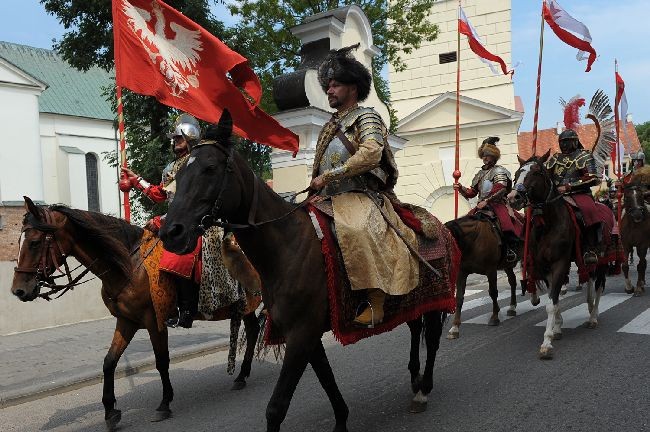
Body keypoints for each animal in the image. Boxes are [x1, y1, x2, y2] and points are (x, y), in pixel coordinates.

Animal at [11, 197, 260, 430]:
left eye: (34, 242)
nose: (18, 290)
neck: (129, 267)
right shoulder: (126, 321)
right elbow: (109, 362)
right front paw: (110, 411)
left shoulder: (155, 321)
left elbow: (162, 361)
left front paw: (164, 403)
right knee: (253, 330)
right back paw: (242, 375)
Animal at [158, 112, 450, 432]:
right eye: (178, 176)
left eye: (210, 168)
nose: (171, 233)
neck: (287, 245)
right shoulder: (305, 335)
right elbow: (326, 379)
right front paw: (341, 420)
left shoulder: (301, 335)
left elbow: (277, 407)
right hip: (413, 301)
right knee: (415, 328)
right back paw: (415, 379)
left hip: (436, 299)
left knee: (432, 338)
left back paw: (423, 390)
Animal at [506, 154, 608, 360]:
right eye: (517, 173)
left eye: (536, 172)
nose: (513, 198)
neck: (547, 224)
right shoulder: (544, 267)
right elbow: (554, 300)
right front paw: (557, 329)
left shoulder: (560, 263)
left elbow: (551, 303)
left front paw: (547, 343)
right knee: (590, 280)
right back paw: (589, 306)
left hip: (601, 259)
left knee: (599, 285)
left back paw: (593, 316)